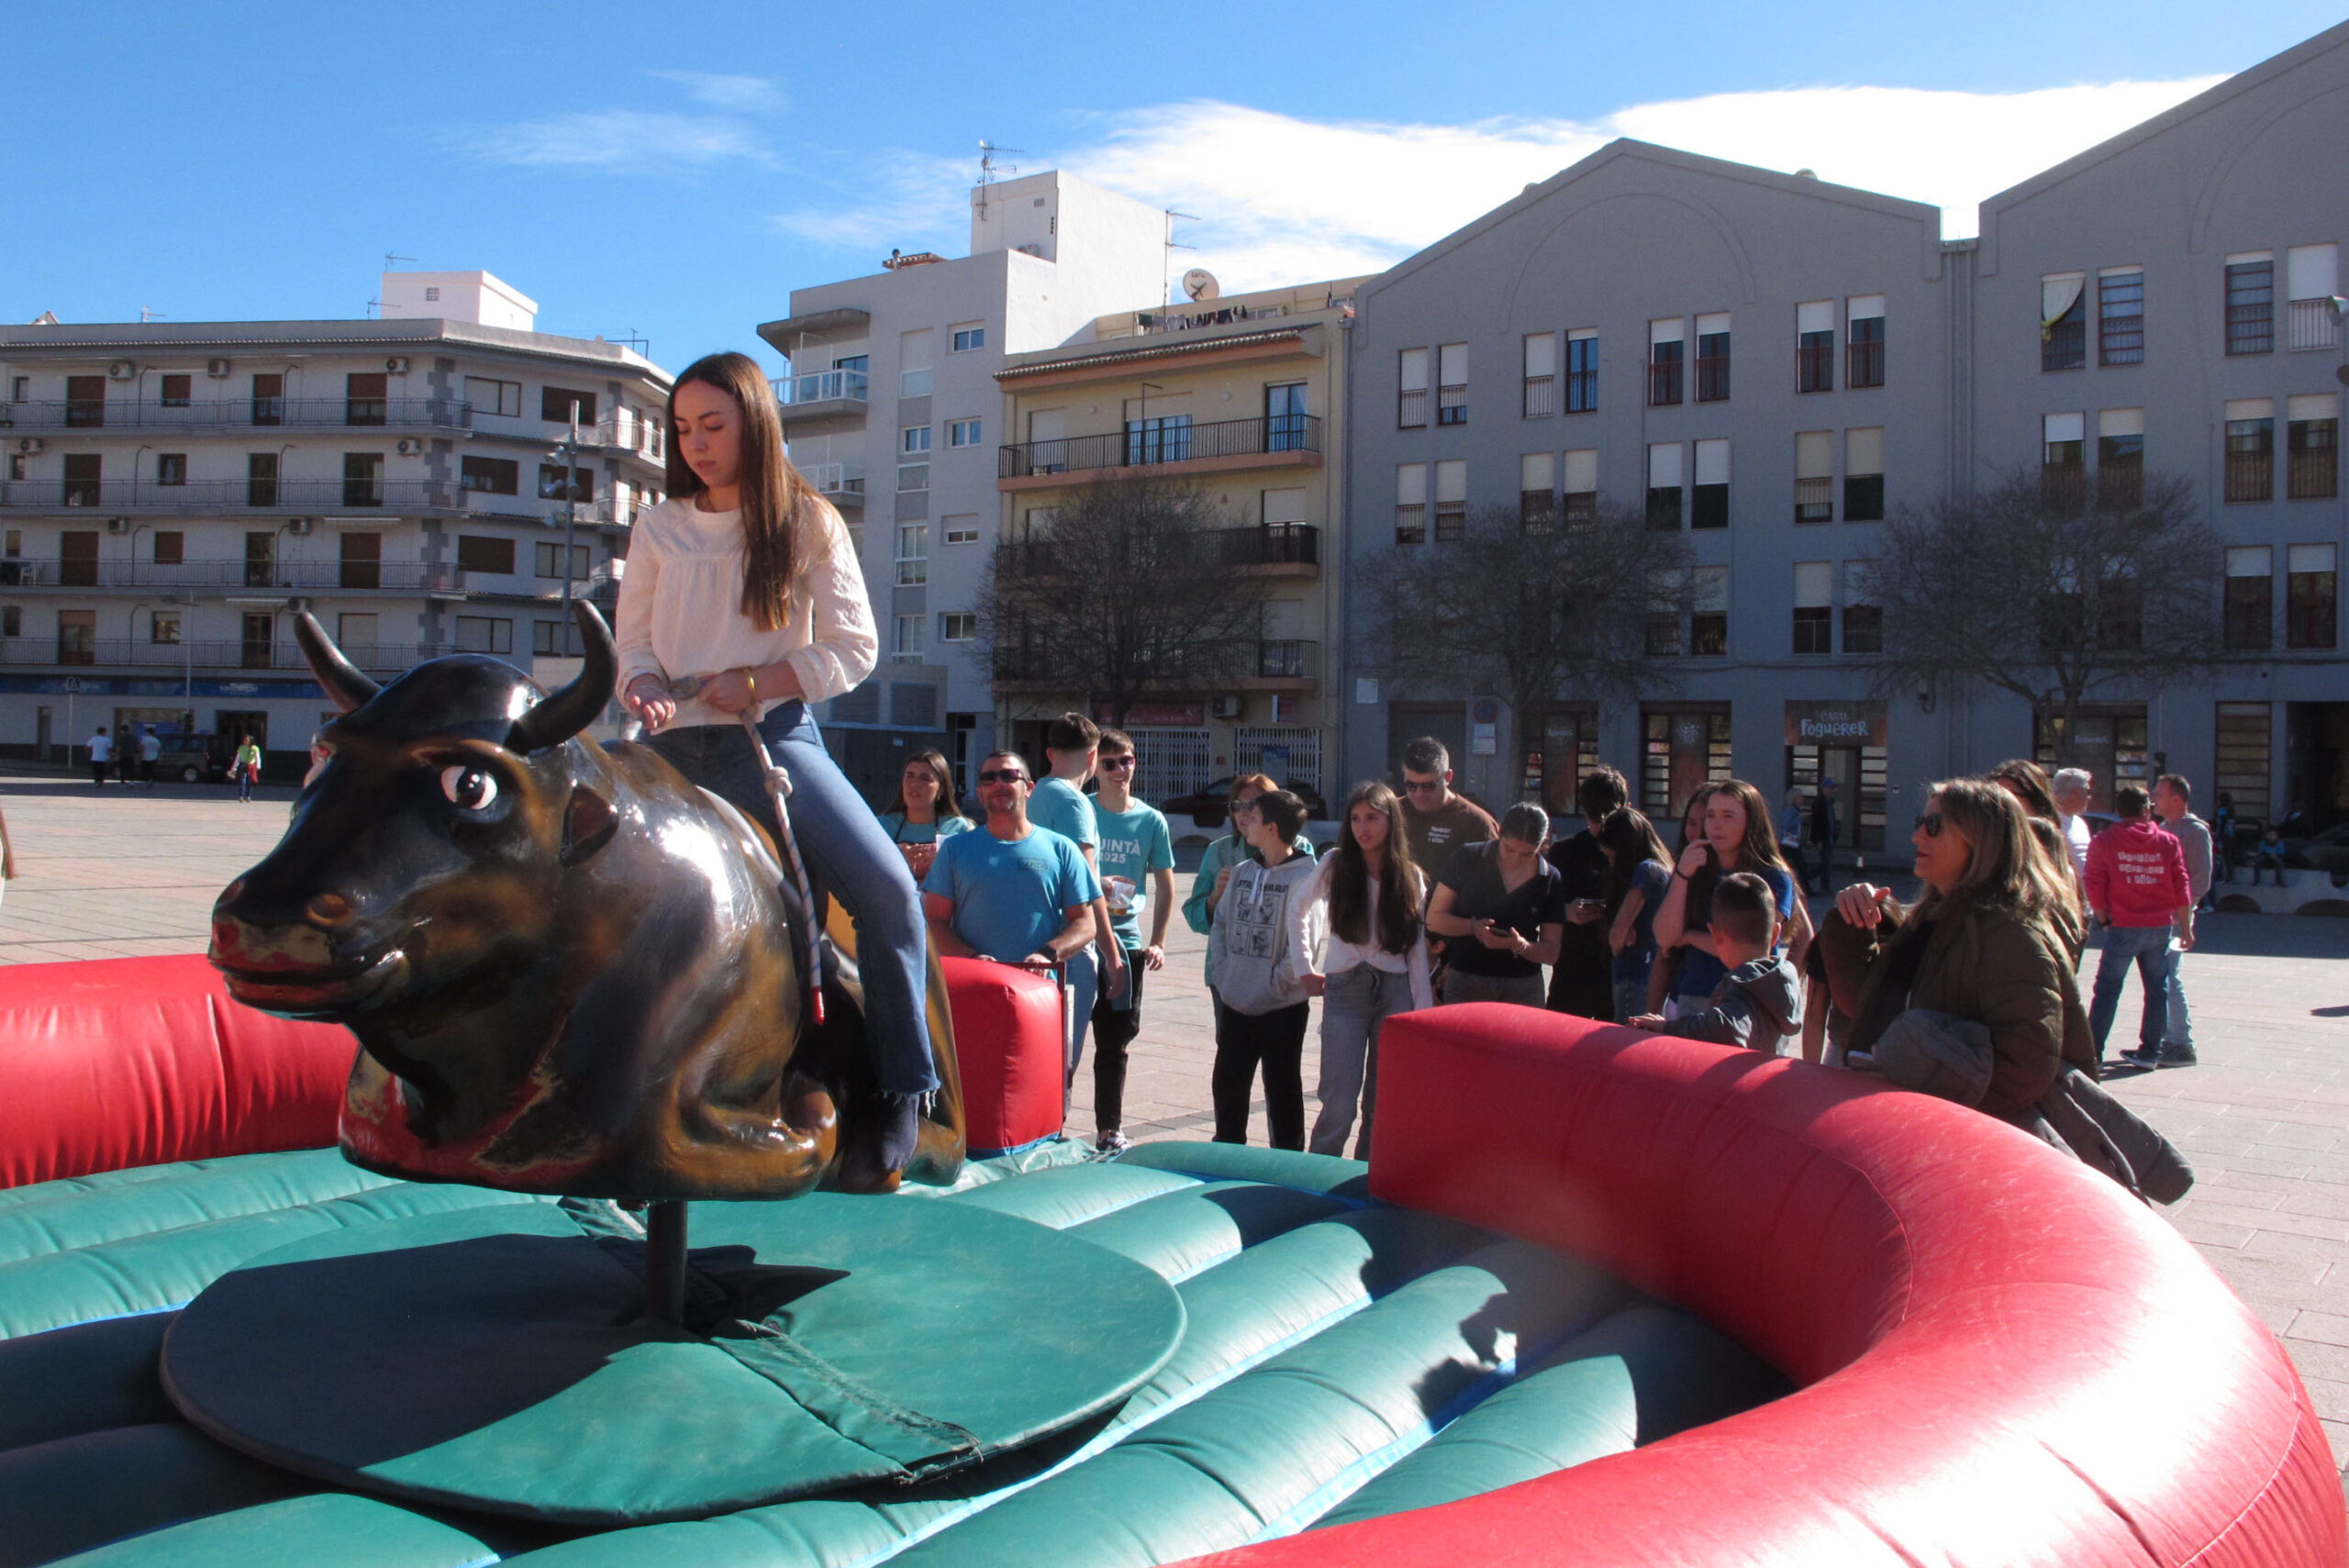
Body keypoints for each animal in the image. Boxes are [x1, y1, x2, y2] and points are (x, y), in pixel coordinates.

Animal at [204, 600, 963, 1201]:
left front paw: (819, 1099)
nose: (268, 915)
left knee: (941, 1138)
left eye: (471, 783)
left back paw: (886, 1143)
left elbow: (784, 1138)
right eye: (324, 755)